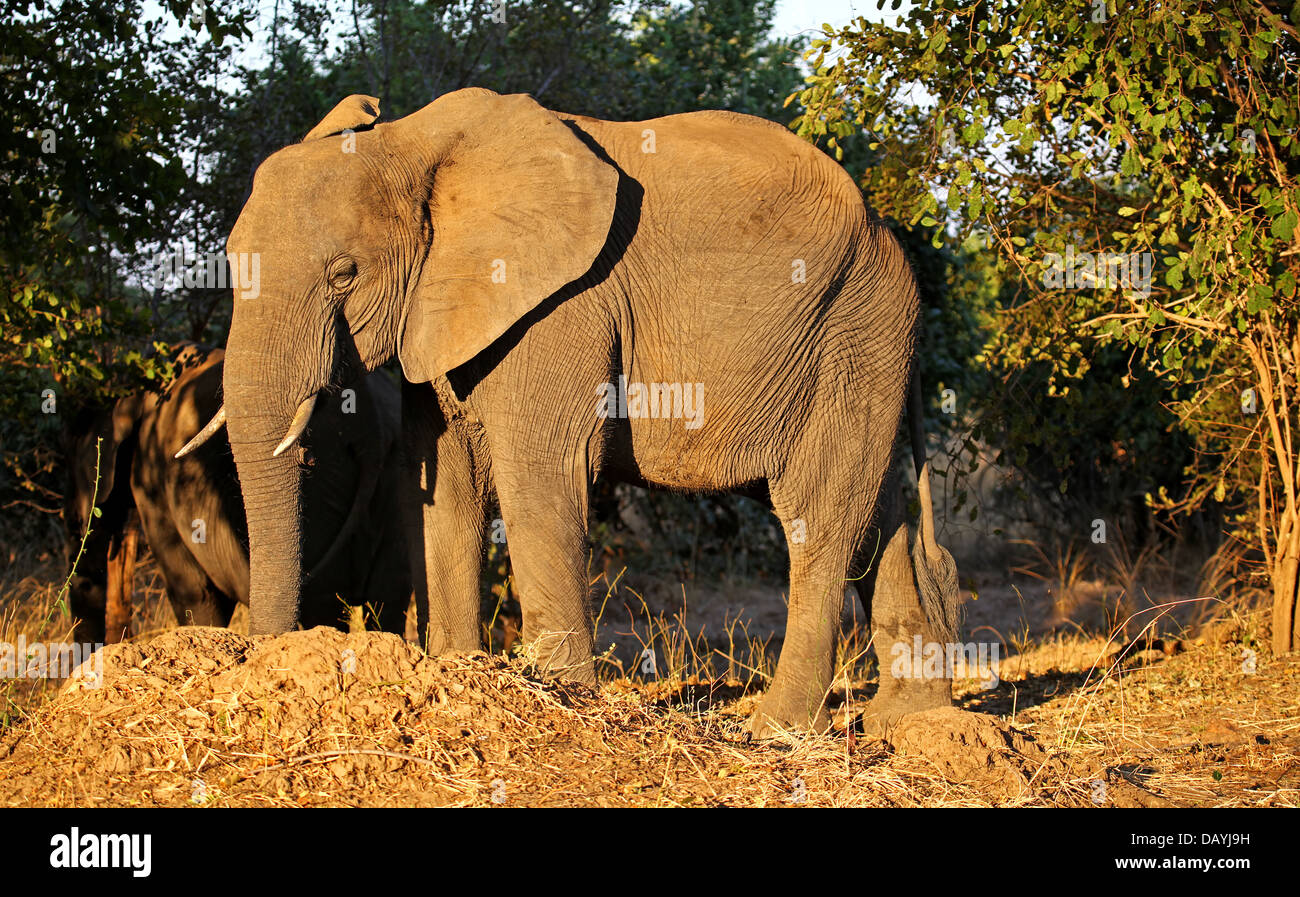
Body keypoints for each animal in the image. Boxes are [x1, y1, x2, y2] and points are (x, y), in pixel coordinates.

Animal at [188, 89, 967, 733]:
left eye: (344, 273)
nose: (260, 654)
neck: (412, 144)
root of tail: (887, 229)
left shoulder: (562, 307)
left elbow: (540, 473)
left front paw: (559, 694)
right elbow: (443, 485)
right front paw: (457, 673)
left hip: (856, 328)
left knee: (821, 513)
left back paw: (775, 729)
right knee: (877, 512)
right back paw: (913, 720)